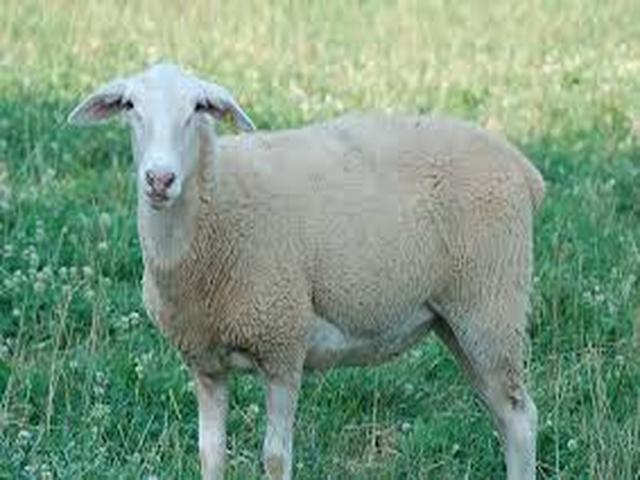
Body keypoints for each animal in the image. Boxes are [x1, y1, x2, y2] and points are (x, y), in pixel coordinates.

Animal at [68, 63, 544, 480]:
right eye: (130, 105)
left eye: (198, 107)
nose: (159, 179)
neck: (217, 205)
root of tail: (521, 166)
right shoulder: (206, 362)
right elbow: (210, 455)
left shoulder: (283, 344)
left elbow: (276, 458)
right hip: (456, 318)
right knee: (503, 415)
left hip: (490, 304)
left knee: (521, 418)